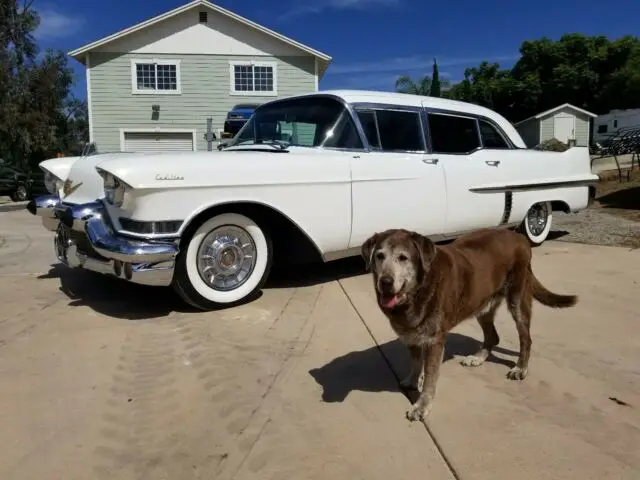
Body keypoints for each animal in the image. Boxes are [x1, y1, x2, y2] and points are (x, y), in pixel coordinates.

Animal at [362, 228, 576, 420]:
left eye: (403, 258)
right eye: (379, 256)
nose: (385, 282)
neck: (415, 292)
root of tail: (519, 237)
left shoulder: (434, 341)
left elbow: (431, 376)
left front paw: (422, 406)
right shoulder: (411, 335)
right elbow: (416, 363)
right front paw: (413, 381)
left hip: (517, 299)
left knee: (526, 339)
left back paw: (520, 368)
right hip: (481, 304)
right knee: (492, 336)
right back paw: (478, 358)